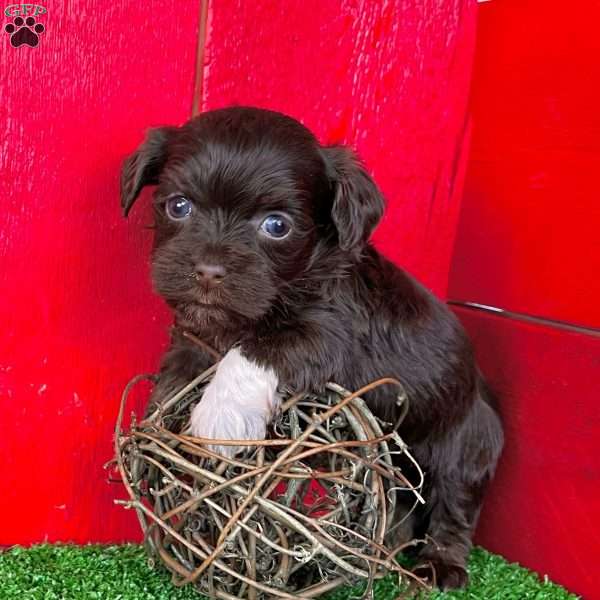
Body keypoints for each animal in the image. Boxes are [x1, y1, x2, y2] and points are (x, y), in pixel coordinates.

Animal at [120, 105, 502, 588]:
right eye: (178, 206)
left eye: (277, 226)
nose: (208, 271)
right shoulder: (197, 335)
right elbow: (182, 367)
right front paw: (160, 425)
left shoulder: (328, 334)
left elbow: (254, 351)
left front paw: (217, 420)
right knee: (403, 505)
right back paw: (381, 555)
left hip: (465, 447)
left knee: (454, 507)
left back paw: (439, 565)